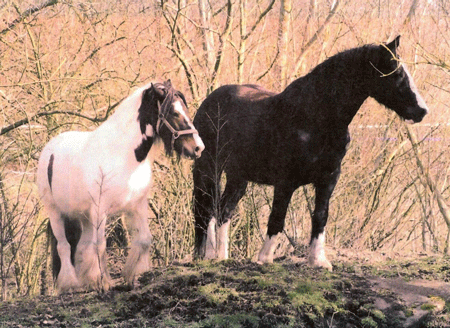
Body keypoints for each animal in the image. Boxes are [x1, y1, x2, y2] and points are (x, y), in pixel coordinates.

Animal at [37, 80, 206, 294]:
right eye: (174, 112)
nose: (198, 148)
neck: (123, 155)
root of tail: (50, 149)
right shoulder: (100, 210)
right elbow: (100, 245)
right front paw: (102, 282)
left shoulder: (137, 205)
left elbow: (144, 240)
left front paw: (133, 276)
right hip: (56, 212)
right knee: (64, 246)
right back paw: (70, 283)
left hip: (84, 216)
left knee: (82, 245)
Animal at [192, 37, 428, 270]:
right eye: (396, 73)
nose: (422, 111)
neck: (315, 117)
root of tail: (208, 103)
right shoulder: (285, 181)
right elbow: (277, 217)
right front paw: (265, 258)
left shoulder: (328, 179)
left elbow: (320, 216)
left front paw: (318, 261)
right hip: (209, 170)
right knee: (207, 211)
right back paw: (209, 255)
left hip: (238, 177)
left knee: (223, 211)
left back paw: (221, 257)